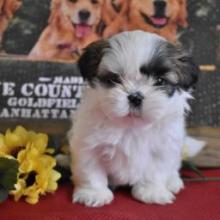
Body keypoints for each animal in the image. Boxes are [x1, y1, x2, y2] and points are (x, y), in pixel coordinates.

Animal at [68, 30, 205, 207]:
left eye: (159, 81)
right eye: (114, 79)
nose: (135, 96)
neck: (131, 126)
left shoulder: (163, 148)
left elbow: (156, 170)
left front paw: (151, 192)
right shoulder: (88, 145)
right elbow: (91, 170)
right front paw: (93, 193)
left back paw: (173, 181)